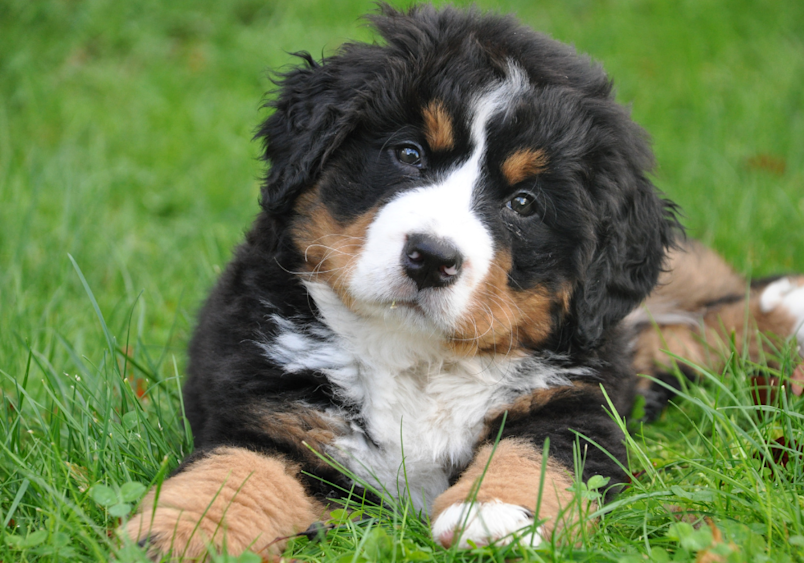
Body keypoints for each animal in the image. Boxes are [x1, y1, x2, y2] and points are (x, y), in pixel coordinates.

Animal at [125, 4, 804, 560]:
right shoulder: (271, 406)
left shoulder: (576, 400)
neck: (417, 359)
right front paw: (179, 530)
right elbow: (235, 473)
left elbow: (532, 453)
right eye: (408, 154)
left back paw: (784, 310)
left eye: (524, 204)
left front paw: (493, 513)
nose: (431, 257)